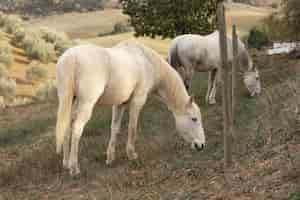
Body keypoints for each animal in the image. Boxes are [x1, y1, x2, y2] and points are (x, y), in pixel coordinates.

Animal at [55, 40, 206, 175]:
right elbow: (132, 127)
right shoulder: (138, 101)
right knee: (76, 129)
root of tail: (71, 58)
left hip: (70, 102)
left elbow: (115, 129)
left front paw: (110, 157)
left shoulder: (119, 104)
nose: (201, 145)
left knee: (67, 128)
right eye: (194, 119)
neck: (147, 62)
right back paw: (74, 168)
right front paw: (132, 154)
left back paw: (66, 163)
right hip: (86, 104)